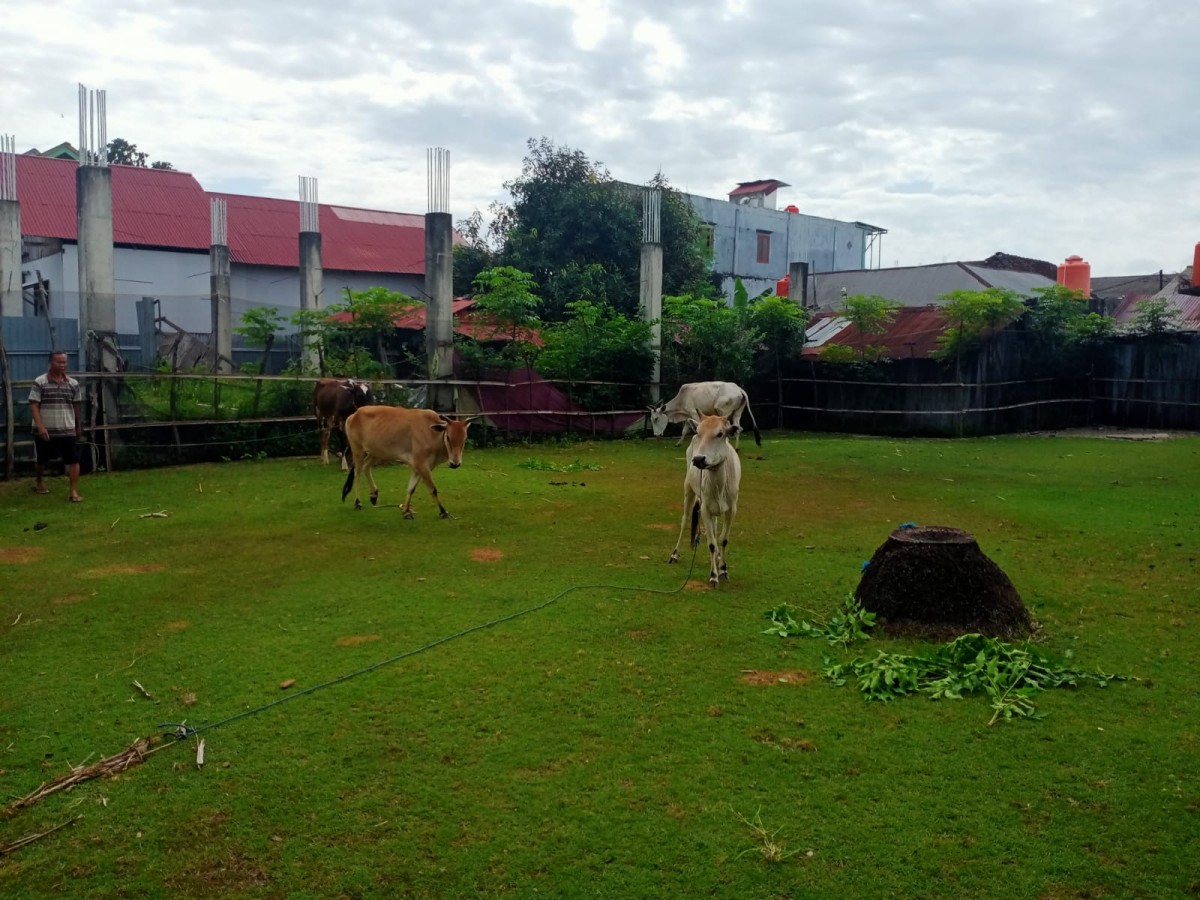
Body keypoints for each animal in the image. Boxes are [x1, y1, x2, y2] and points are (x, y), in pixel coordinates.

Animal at [343, 405, 472, 518]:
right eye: (448, 437)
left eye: (464, 438)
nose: (455, 463)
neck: (432, 434)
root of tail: (354, 415)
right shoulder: (421, 465)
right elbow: (433, 489)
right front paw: (443, 512)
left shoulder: (419, 468)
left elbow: (411, 489)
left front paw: (406, 511)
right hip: (358, 450)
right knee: (357, 472)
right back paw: (357, 502)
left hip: (376, 453)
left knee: (366, 467)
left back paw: (374, 495)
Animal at [667, 415, 739, 588]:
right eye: (699, 432)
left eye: (720, 433)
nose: (699, 459)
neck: (719, 485)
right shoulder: (705, 508)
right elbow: (711, 543)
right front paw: (713, 575)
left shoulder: (731, 509)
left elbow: (723, 539)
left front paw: (723, 568)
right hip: (689, 489)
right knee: (685, 520)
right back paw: (674, 554)